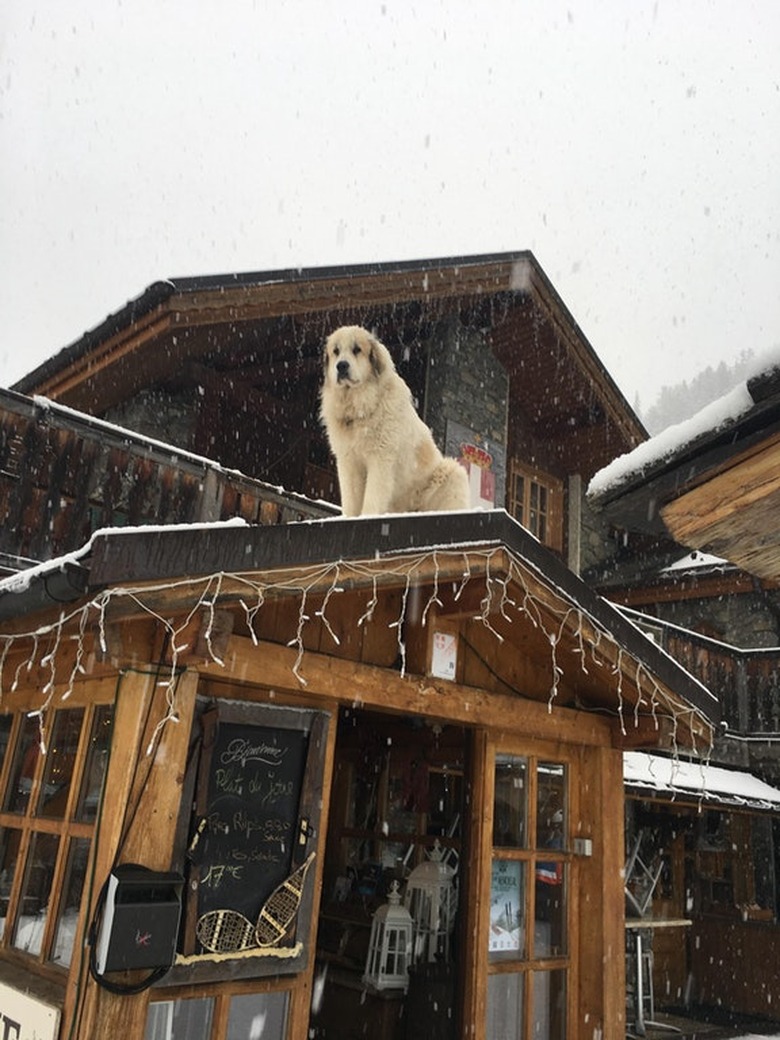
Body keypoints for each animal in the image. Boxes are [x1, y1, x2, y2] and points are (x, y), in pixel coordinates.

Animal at [318, 326, 470, 517]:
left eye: (357, 349)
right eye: (336, 351)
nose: (341, 365)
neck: (362, 406)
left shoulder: (381, 459)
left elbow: (373, 498)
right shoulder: (348, 462)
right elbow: (351, 500)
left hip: (453, 472)